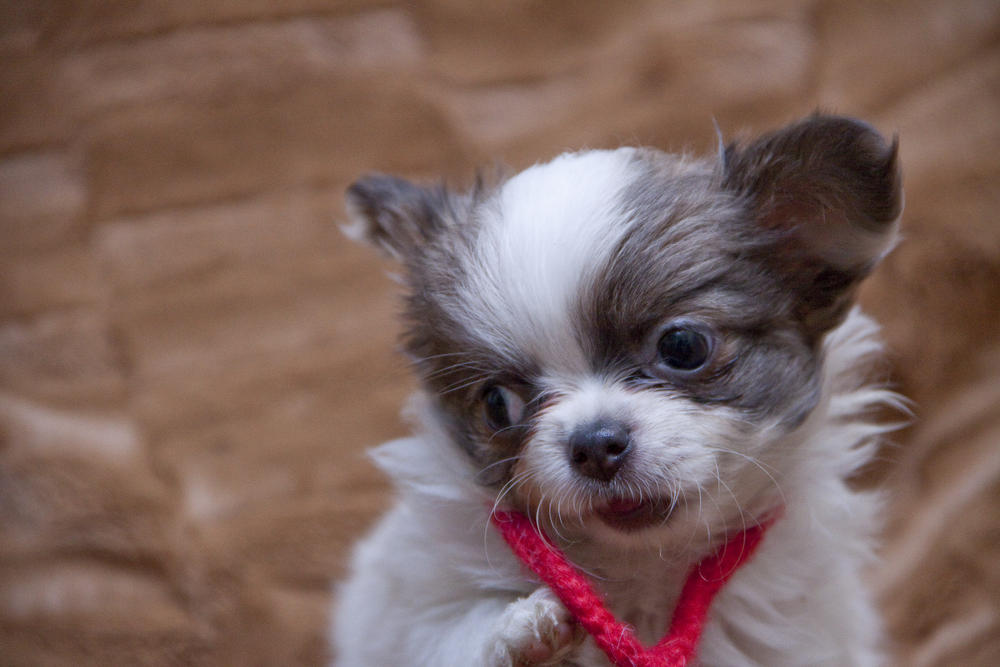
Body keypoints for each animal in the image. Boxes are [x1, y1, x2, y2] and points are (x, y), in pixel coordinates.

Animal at [331, 114, 904, 666]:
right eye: (497, 404)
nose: (593, 445)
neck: (643, 572)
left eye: (683, 347)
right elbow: (453, 633)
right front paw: (519, 630)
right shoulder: (408, 612)